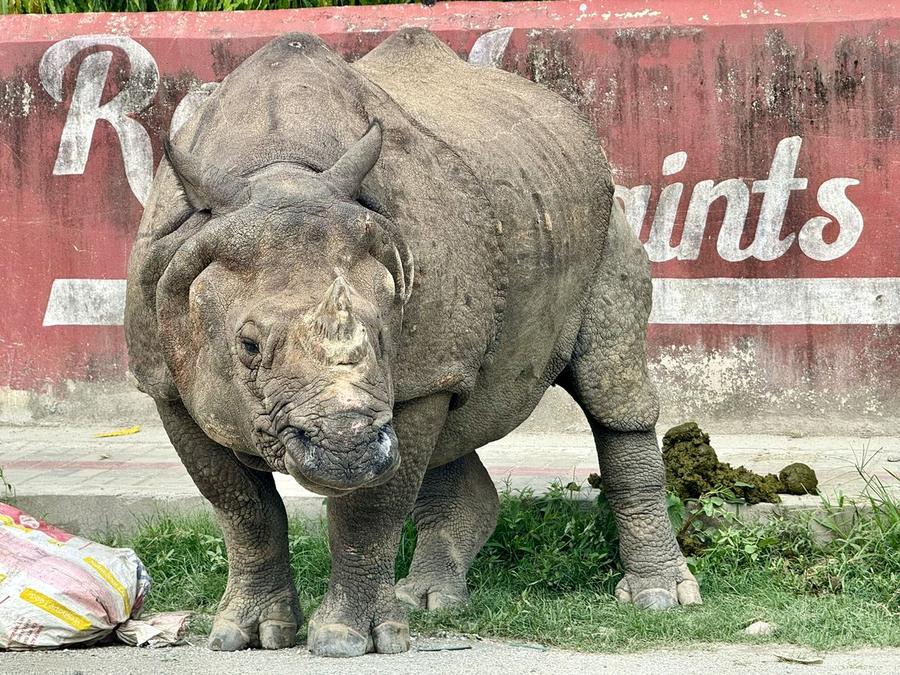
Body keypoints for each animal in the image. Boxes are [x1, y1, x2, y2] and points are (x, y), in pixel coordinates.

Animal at [125, 29, 700, 657]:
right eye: (248, 346)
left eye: (385, 335)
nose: (347, 449)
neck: (278, 172)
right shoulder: (165, 382)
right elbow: (241, 508)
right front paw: (245, 634)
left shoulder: (418, 374)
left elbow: (372, 509)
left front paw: (349, 640)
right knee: (457, 421)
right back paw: (429, 599)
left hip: (605, 222)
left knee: (610, 390)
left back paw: (658, 599)